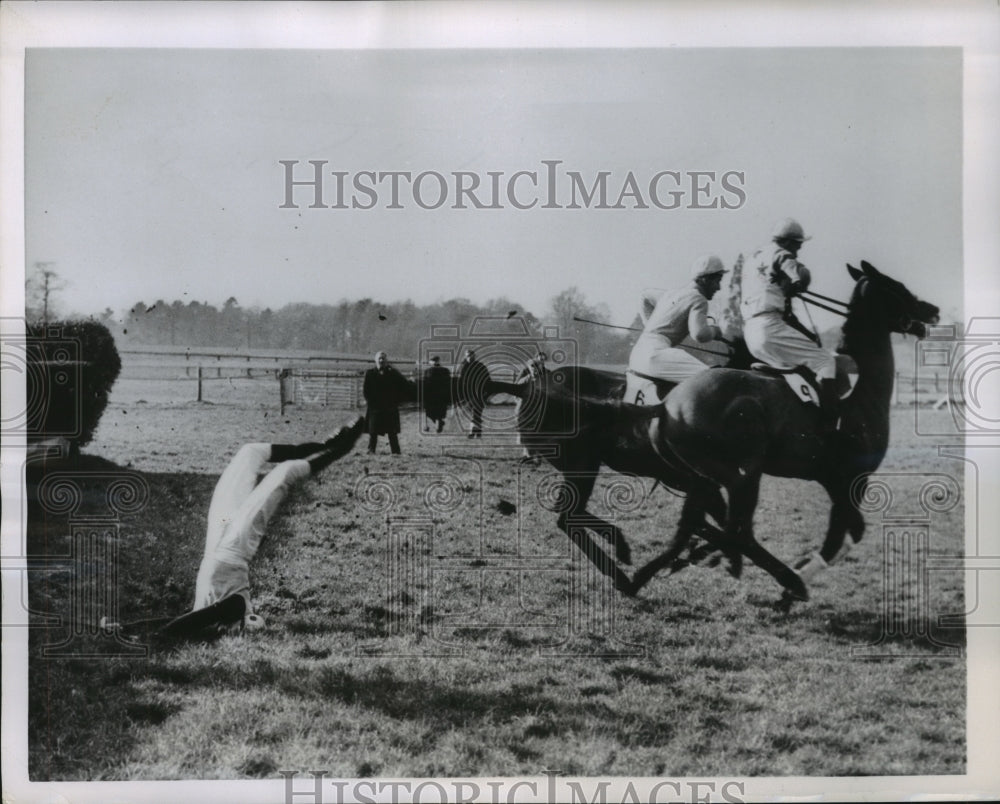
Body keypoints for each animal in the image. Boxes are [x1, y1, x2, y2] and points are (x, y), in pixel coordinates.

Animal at [628, 262, 940, 604]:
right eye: (898, 288)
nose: (933, 310)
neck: (862, 391)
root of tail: (667, 404)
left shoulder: (835, 481)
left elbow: (846, 535)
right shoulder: (849, 479)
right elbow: (843, 537)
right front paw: (795, 583)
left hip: (701, 478)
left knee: (692, 527)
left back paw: (646, 575)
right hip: (742, 475)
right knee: (738, 532)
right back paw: (772, 574)